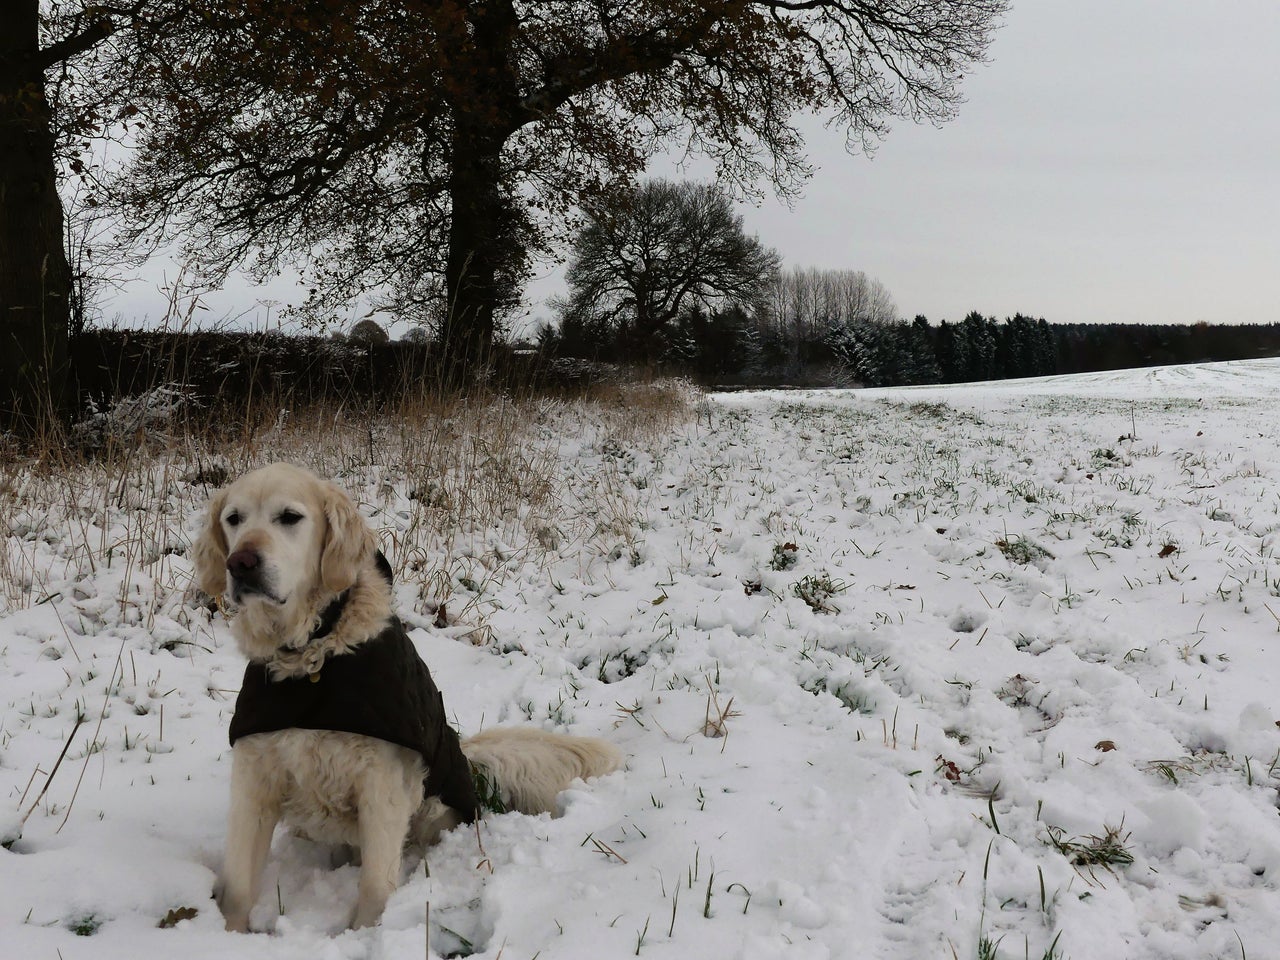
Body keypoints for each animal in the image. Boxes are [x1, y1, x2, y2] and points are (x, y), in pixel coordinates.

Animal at [190, 465, 624, 931]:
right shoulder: (255, 779)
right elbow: (239, 884)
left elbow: (375, 885)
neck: (313, 654)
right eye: (234, 519)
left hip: (432, 806)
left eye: (289, 517)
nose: (241, 563)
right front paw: (227, 934)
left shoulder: (383, 785)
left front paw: (364, 933)